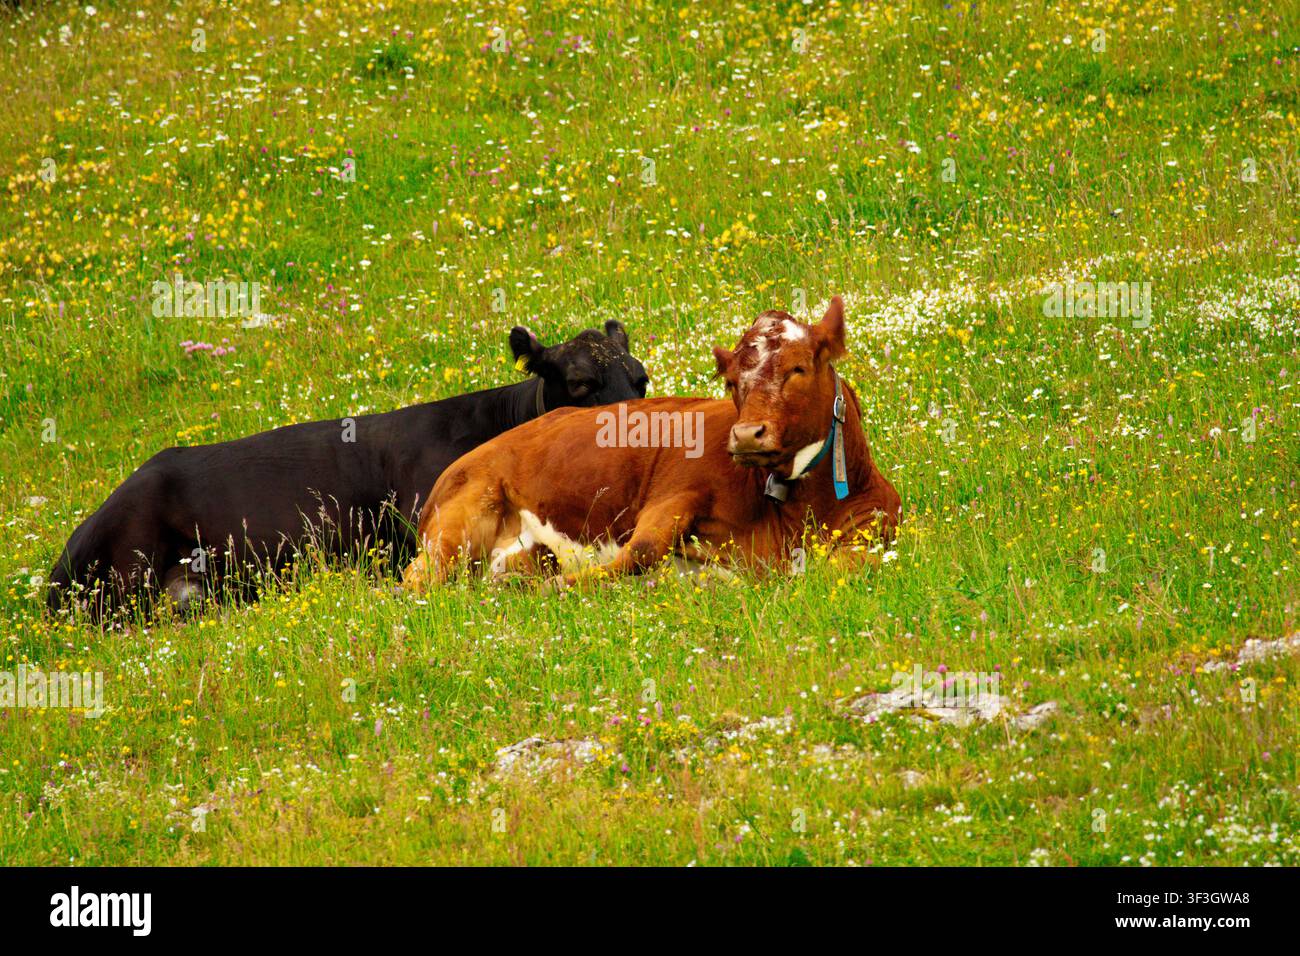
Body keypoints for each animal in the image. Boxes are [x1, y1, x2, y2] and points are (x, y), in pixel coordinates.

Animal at [401, 297, 900, 591]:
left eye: (798, 368)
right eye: (732, 381)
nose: (746, 435)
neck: (793, 515)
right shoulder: (676, 488)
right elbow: (639, 553)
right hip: (461, 517)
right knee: (418, 581)